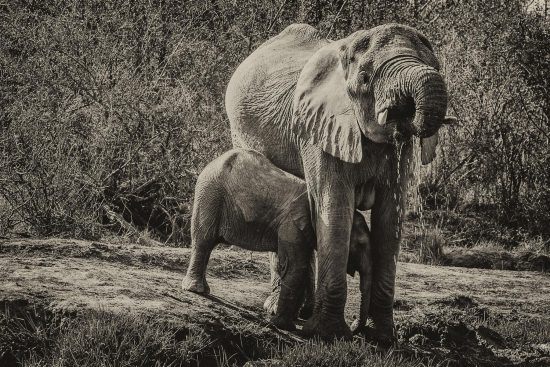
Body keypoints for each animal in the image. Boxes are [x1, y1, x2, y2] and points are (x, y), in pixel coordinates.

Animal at [185, 148, 376, 332]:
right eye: (360, 245)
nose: (354, 326)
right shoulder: (291, 225)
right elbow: (295, 266)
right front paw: (281, 325)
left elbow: (301, 265)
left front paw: (288, 320)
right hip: (209, 195)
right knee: (204, 241)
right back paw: (195, 290)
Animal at [224, 23, 452, 342]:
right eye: (365, 78)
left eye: (435, 66)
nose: (402, 113)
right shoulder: (319, 128)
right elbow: (334, 208)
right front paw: (329, 335)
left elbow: (389, 219)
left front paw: (383, 337)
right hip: (241, 131)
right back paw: (283, 310)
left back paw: (302, 311)